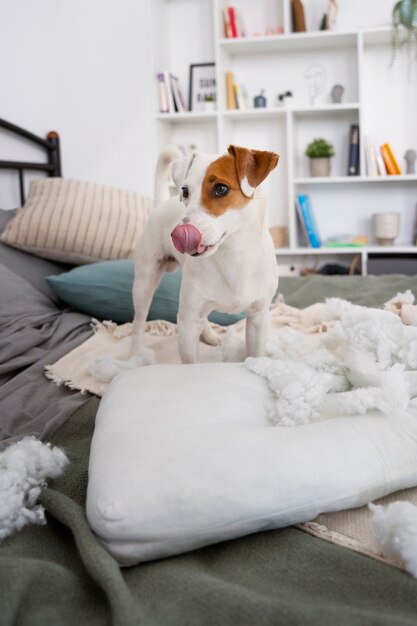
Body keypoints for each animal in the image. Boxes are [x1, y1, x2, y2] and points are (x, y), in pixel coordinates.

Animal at [131, 144, 280, 364]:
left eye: (221, 188)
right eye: (185, 191)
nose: (178, 233)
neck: (233, 255)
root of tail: (161, 204)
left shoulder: (258, 317)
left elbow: (255, 353)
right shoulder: (187, 322)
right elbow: (190, 361)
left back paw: (208, 335)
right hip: (145, 282)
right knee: (139, 320)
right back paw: (136, 354)